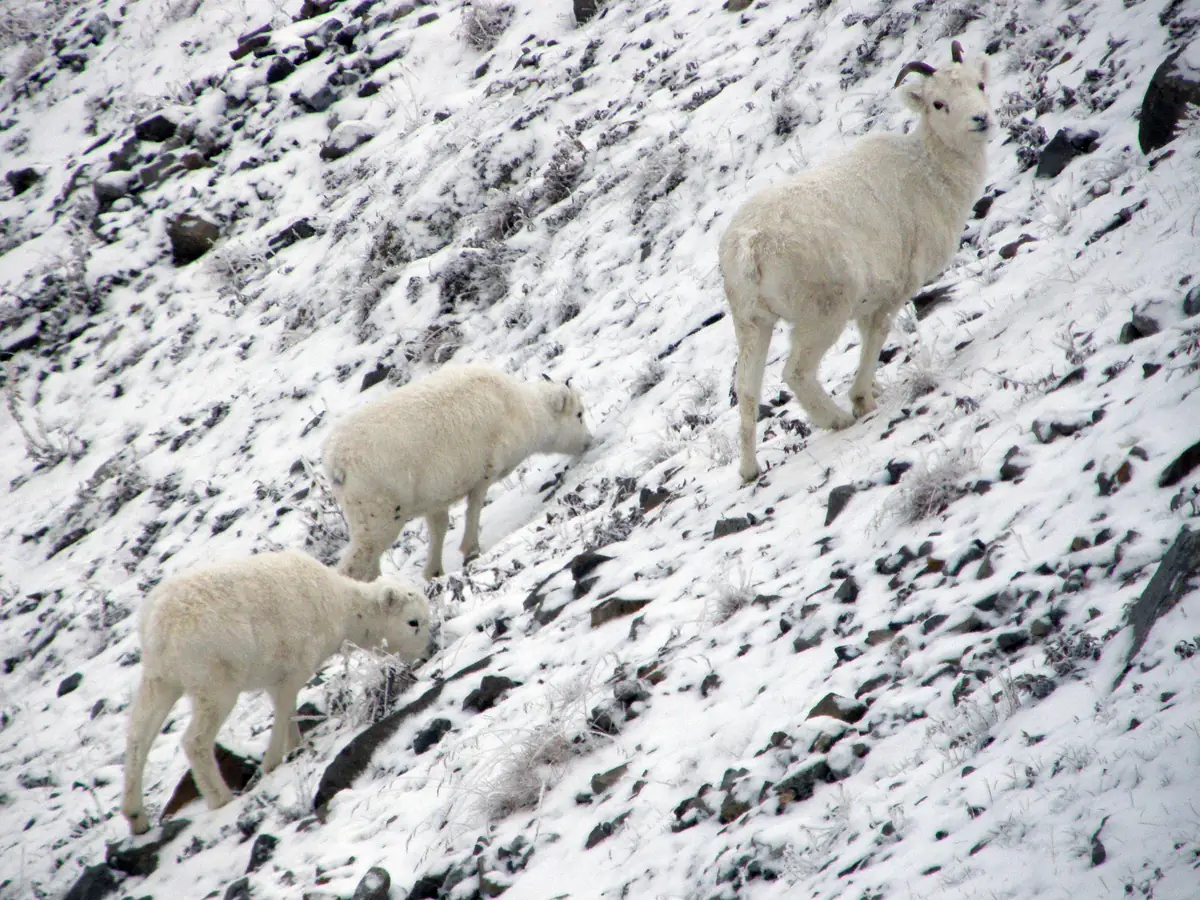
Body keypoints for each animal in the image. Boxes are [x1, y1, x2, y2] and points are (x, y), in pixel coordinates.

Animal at [120, 549, 431, 834]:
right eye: (413, 622)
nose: (427, 651)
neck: (342, 608)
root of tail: (160, 626)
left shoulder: (277, 681)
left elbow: (289, 714)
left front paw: (296, 747)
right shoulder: (290, 675)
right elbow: (283, 714)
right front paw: (272, 764)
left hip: (161, 682)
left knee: (138, 738)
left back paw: (136, 818)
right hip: (216, 689)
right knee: (194, 741)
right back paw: (221, 799)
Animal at [324, 364, 592, 582]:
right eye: (579, 414)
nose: (589, 441)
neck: (525, 411)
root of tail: (337, 462)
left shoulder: (435, 501)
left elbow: (440, 528)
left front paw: (434, 572)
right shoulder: (482, 477)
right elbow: (473, 512)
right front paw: (471, 551)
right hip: (379, 522)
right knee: (353, 568)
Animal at [719, 41, 991, 482]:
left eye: (979, 85)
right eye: (938, 103)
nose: (980, 119)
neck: (929, 171)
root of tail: (750, 243)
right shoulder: (891, 293)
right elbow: (876, 337)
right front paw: (864, 400)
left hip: (753, 325)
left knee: (747, 388)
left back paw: (749, 470)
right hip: (821, 317)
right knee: (796, 372)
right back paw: (838, 420)